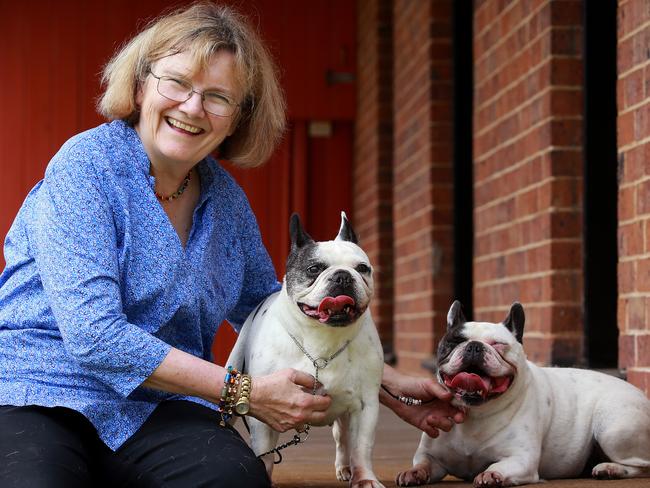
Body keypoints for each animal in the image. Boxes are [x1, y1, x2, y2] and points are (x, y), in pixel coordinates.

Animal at [227, 213, 384, 488]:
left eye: (362, 268)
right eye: (314, 269)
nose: (343, 276)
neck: (323, 338)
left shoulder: (366, 405)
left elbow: (362, 447)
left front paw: (364, 478)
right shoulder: (263, 409)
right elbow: (264, 452)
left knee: (343, 439)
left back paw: (345, 467)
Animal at [394, 302, 648, 488]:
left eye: (498, 344)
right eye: (455, 341)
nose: (474, 346)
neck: (476, 414)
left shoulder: (520, 459)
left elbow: (498, 467)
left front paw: (491, 475)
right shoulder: (431, 456)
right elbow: (423, 464)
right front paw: (413, 473)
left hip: (613, 429)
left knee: (642, 466)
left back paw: (610, 469)